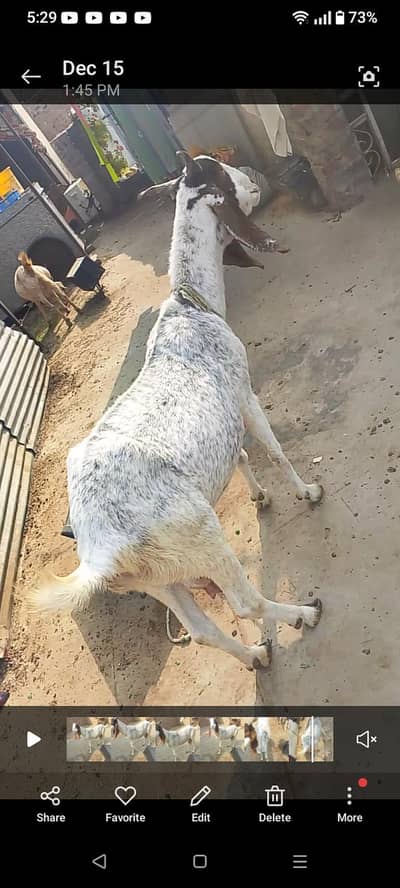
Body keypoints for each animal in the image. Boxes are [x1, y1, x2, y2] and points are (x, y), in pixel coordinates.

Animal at [32, 152, 322, 676]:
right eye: (226, 177)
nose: (256, 181)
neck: (191, 305)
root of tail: (101, 552)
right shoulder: (243, 391)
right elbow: (273, 450)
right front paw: (306, 491)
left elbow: (240, 454)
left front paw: (260, 495)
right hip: (199, 533)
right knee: (245, 602)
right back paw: (303, 614)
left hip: (158, 579)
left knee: (202, 630)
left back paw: (256, 654)